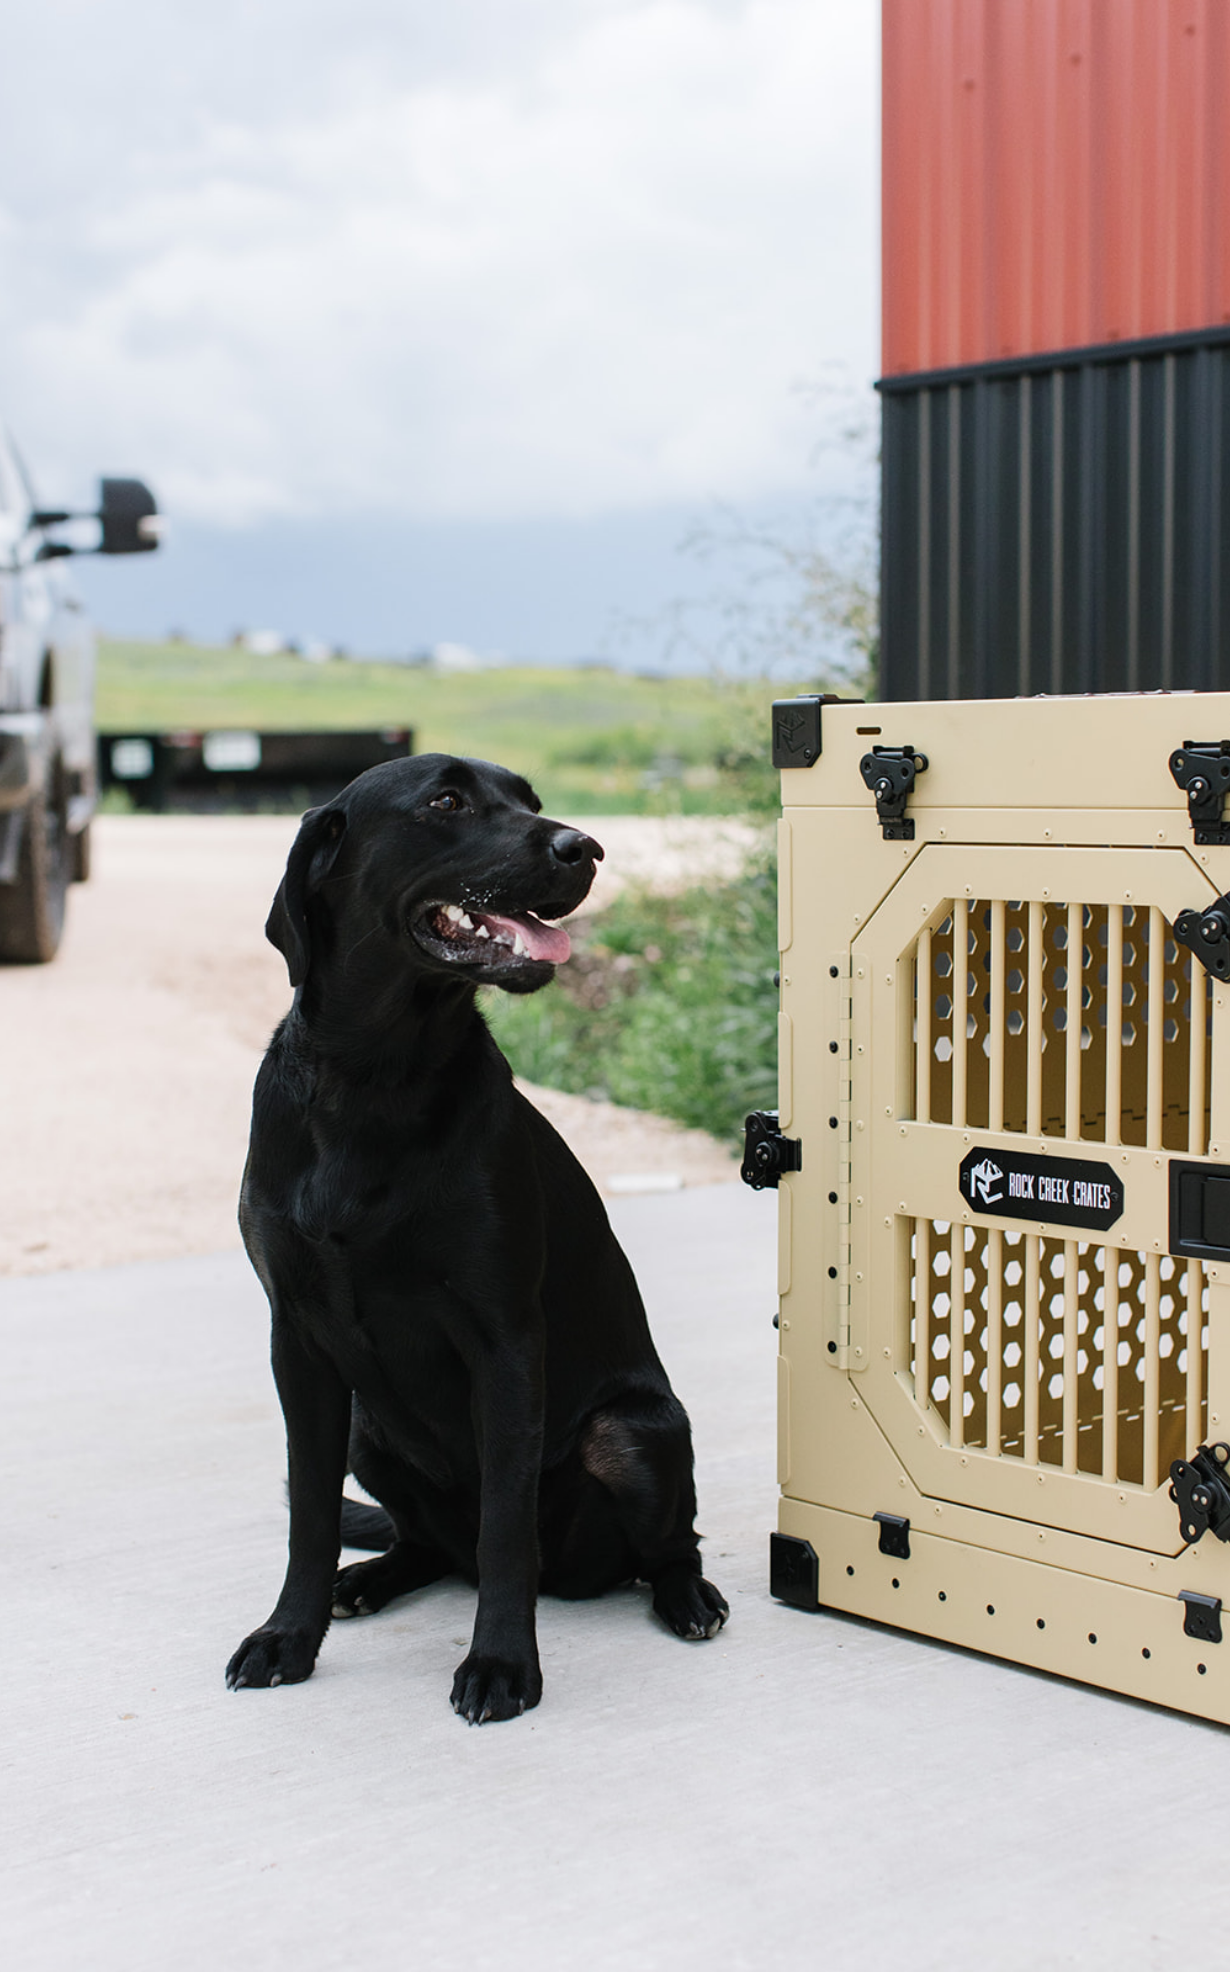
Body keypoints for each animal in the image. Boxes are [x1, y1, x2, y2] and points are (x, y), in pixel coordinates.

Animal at [226, 745, 725, 1719]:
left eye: (530, 800)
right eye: (447, 801)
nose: (585, 847)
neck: (376, 1080)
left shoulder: (504, 1340)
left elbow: (504, 1532)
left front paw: (500, 1663)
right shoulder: (296, 1343)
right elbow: (309, 1515)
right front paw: (288, 1636)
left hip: (636, 1432)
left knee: (661, 1546)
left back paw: (688, 1598)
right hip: (368, 1431)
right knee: (427, 1546)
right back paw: (368, 1579)